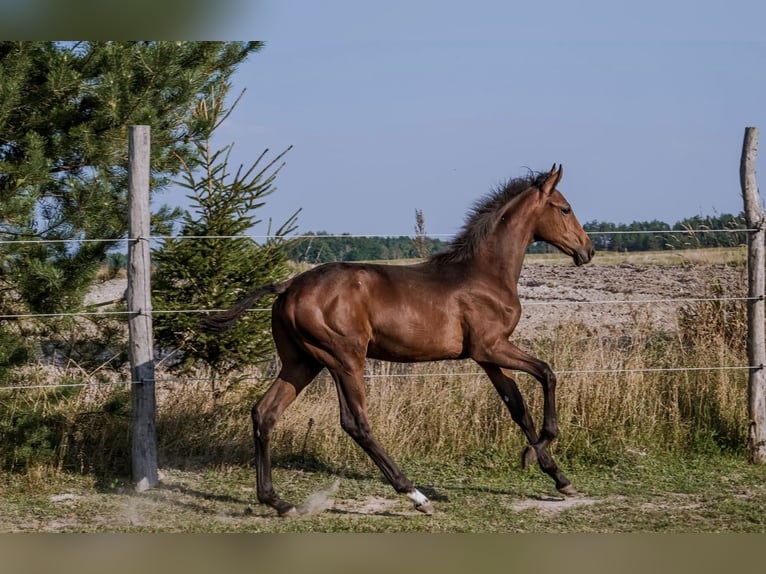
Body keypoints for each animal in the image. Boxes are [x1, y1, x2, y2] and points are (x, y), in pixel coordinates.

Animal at [207, 163, 596, 516]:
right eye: (565, 208)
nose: (587, 250)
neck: (484, 273)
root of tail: (288, 286)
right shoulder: (491, 346)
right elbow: (547, 373)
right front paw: (535, 452)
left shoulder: (488, 357)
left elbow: (518, 408)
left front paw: (557, 477)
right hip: (344, 359)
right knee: (355, 422)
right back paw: (415, 495)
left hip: (301, 362)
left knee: (265, 412)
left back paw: (278, 502)